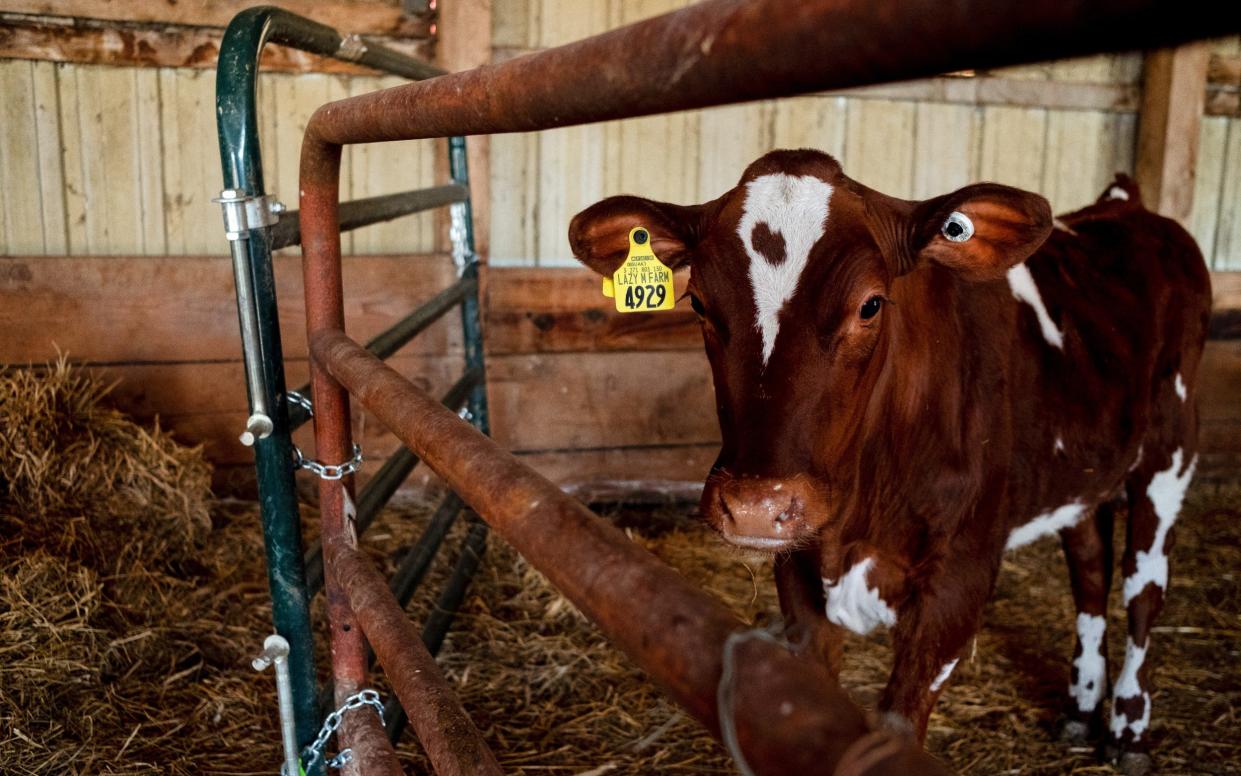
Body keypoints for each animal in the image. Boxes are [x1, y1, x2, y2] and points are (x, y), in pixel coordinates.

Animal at [568, 149, 1211, 769]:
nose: (755, 506)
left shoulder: (960, 580)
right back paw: (1080, 709)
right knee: (1090, 569)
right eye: (698, 302)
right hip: (1081, 476)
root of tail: (1126, 207)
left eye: (871, 304)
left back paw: (1129, 731)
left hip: (1171, 454)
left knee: (1143, 589)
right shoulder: (799, 579)